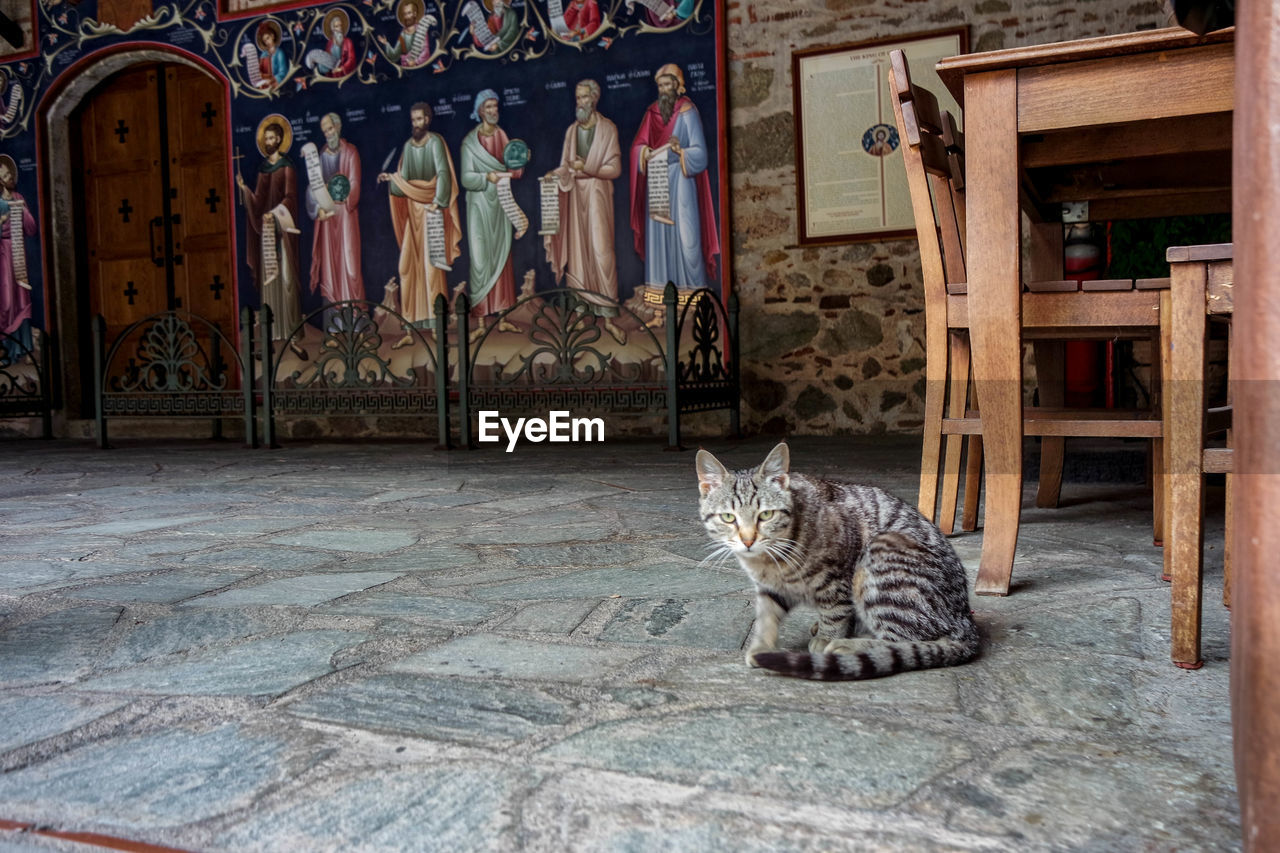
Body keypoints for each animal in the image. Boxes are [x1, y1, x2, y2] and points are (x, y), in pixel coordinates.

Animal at [696, 438, 972, 676]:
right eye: (728, 518)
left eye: (766, 515)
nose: (748, 540)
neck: (768, 561)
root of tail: (965, 621)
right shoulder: (770, 588)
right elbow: (766, 616)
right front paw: (761, 646)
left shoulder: (838, 576)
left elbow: (835, 610)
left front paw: (828, 636)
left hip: (883, 556)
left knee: (903, 640)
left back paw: (847, 645)